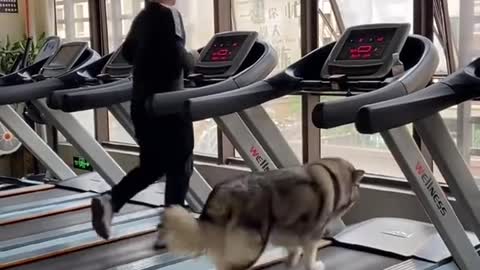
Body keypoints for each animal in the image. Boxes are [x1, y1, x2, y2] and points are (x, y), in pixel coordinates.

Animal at [161, 158, 364, 270]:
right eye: (356, 187)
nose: (357, 196)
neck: (333, 176)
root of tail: (223, 193)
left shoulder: (284, 230)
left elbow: (293, 249)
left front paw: (290, 263)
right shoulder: (313, 233)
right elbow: (309, 255)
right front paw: (313, 265)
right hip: (252, 248)